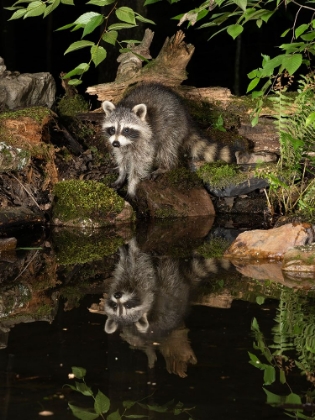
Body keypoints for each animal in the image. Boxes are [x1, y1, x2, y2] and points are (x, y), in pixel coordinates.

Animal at [102, 84, 241, 199]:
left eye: (126, 130)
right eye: (112, 129)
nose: (115, 143)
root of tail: (187, 117)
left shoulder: (146, 141)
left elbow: (139, 165)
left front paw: (132, 185)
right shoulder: (122, 145)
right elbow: (122, 158)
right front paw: (121, 174)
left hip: (174, 127)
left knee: (167, 149)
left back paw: (165, 167)